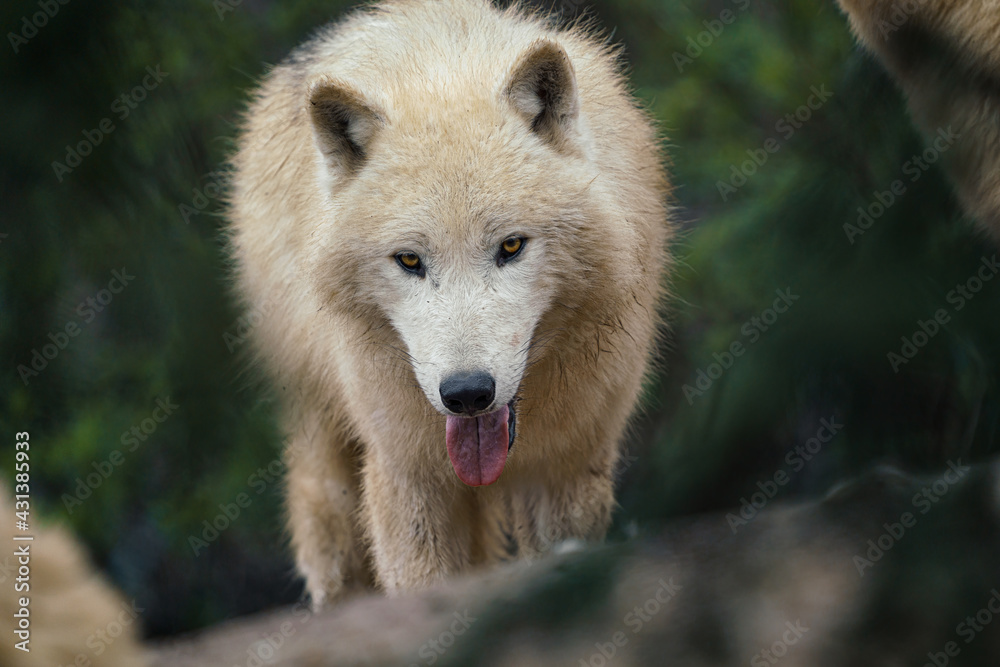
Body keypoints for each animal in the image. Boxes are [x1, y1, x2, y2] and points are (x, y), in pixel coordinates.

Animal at [228, 0, 671, 605]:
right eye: (410, 260)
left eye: (511, 246)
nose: (466, 394)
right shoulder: (408, 474)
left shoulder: (568, 469)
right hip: (327, 455)